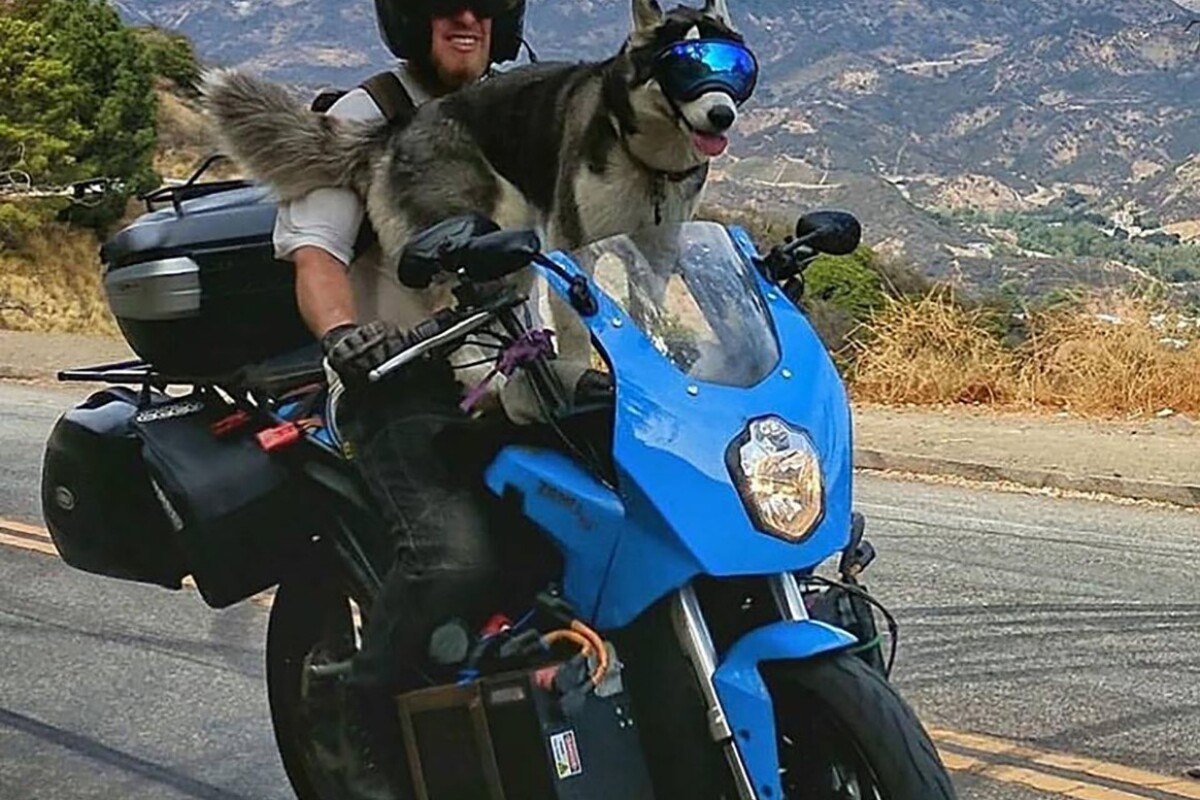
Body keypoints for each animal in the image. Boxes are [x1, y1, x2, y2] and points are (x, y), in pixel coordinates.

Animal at [200, 0, 753, 355]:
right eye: (684, 68)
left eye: (734, 69)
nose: (722, 115)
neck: (644, 158)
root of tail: (393, 131)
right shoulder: (573, 246)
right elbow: (578, 325)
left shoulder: (655, 252)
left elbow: (645, 316)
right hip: (487, 224)